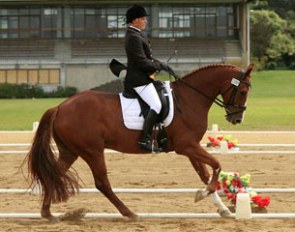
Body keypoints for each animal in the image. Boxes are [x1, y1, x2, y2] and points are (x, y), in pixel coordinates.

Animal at [25, 62, 254, 222]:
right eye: (243, 91)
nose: (237, 119)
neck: (189, 99)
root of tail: (60, 107)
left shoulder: (190, 147)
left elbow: (205, 174)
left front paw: (222, 209)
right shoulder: (186, 146)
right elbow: (217, 165)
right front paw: (203, 194)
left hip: (70, 151)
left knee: (54, 175)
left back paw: (48, 213)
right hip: (92, 151)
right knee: (102, 183)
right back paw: (130, 213)